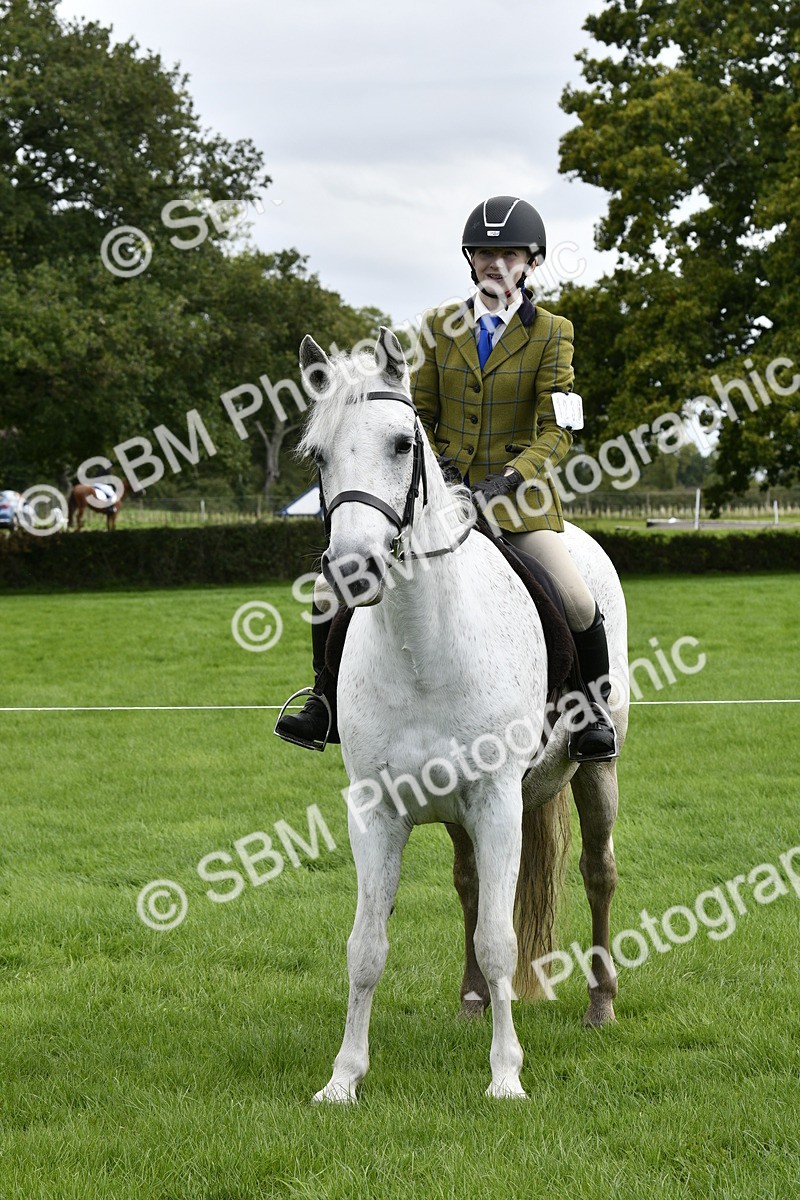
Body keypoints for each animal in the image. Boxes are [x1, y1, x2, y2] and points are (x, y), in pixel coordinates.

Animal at [297, 327, 628, 1102]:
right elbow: (366, 946)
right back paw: (473, 1000)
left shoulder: (498, 799)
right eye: (318, 455)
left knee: (598, 873)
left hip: (594, 774)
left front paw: (505, 1077)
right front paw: (343, 1078)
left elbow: (501, 940)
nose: (352, 569)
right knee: (472, 885)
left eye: (400, 443)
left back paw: (599, 1004)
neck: (423, 645)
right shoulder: (375, 810)